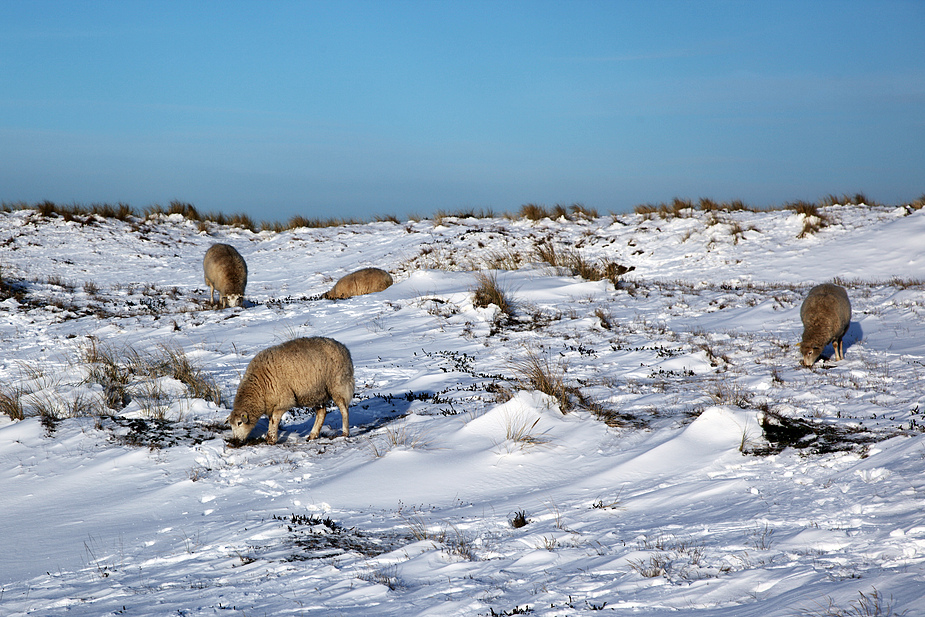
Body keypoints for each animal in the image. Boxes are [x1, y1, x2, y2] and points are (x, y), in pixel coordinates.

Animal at [226, 336, 356, 442]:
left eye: (239, 423)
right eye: (231, 425)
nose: (236, 440)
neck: (259, 387)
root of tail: (343, 347)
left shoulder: (284, 400)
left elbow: (274, 419)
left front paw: (271, 439)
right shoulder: (272, 402)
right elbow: (271, 420)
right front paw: (269, 436)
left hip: (338, 385)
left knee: (344, 409)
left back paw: (345, 433)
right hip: (316, 392)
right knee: (322, 413)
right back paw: (312, 435)